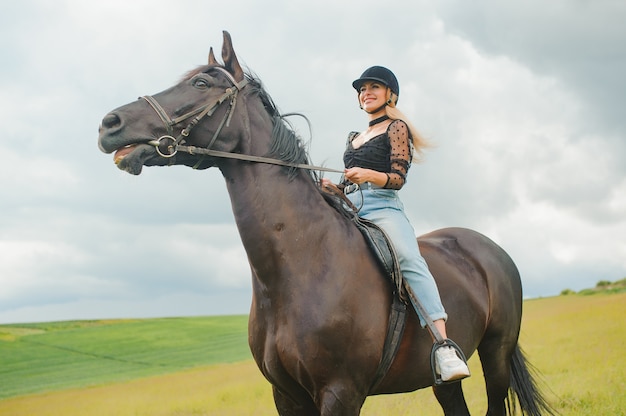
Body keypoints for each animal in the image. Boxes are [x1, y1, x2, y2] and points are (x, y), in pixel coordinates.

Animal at [96, 30, 552, 414]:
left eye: (202, 85)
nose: (109, 124)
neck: (302, 263)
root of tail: (488, 248)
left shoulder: (340, 392)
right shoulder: (287, 395)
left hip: (496, 355)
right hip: (441, 381)